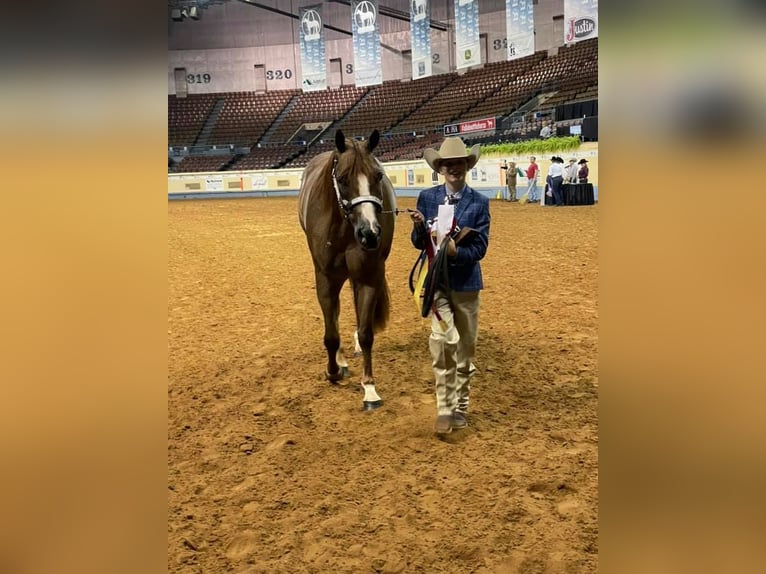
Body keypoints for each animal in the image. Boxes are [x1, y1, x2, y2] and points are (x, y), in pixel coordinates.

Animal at [298, 129, 396, 410]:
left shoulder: (370, 275)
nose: (370, 233)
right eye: (341, 179)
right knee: (336, 315)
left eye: (378, 176)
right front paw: (332, 371)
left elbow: (366, 333)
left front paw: (369, 388)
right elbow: (331, 333)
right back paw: (340, 362)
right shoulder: (325, 279)